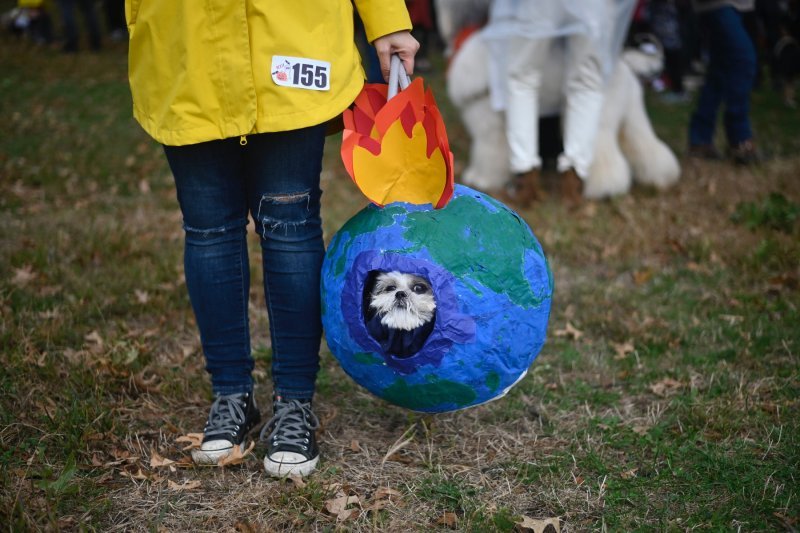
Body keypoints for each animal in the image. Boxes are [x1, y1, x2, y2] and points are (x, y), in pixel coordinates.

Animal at [438, 0, 680, 200]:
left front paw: (482, 180)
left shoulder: (488, 125)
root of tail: (624, 68)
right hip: (631, 115)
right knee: (648, 148)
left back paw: (605, 188)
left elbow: (488, 155)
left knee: (607, 159)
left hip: (602, 122)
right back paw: (661, 178)